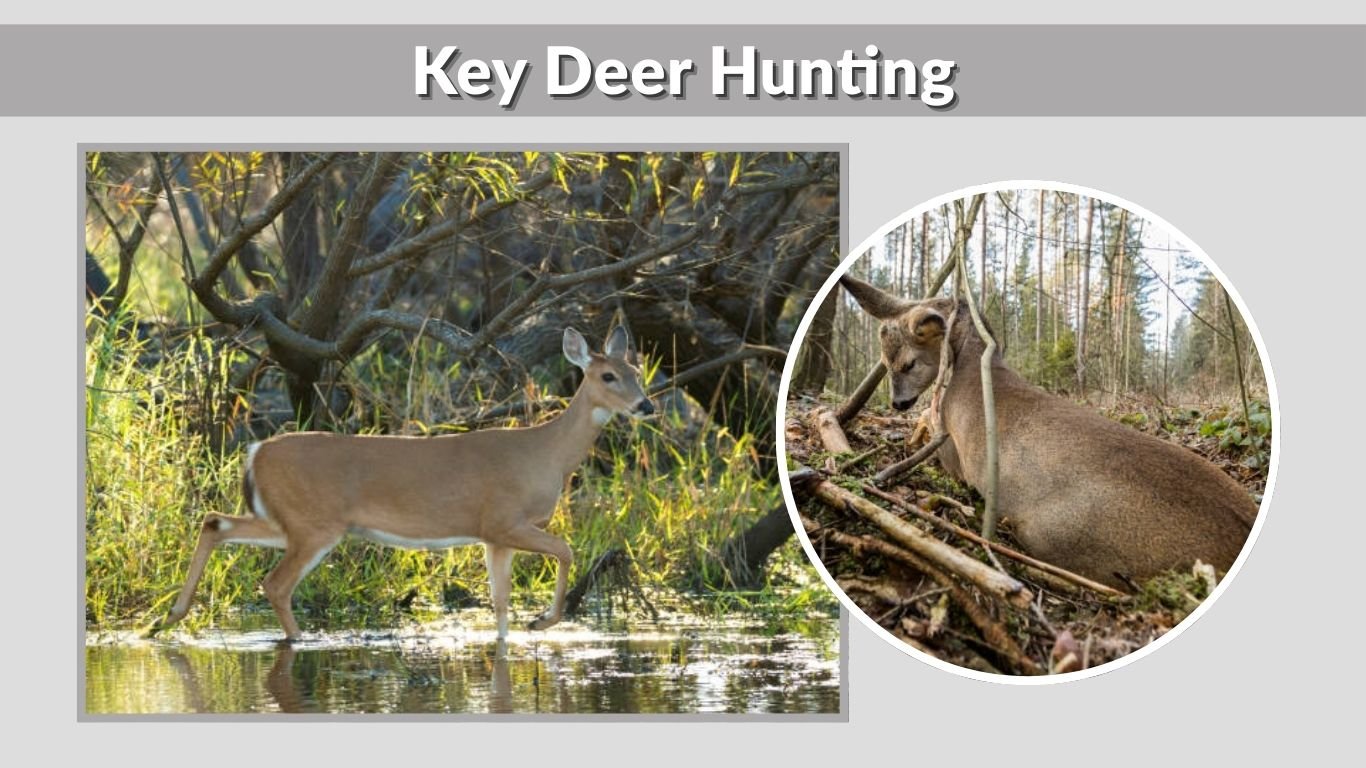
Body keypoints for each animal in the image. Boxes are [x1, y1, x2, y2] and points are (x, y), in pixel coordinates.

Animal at [156, 326, 654, 642]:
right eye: (608, 375)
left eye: (637, 372)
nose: (646, 406)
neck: (542, 454)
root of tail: (256, 451)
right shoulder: (502, 521)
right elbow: (566, 551)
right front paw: (543, 622)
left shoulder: (494, 538)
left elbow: (499, 604)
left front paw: (517, 634)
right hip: (315, 525)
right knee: (275, 584)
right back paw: (301, 640)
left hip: (283, 519)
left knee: (215, 521)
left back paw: (171, 616)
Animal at [838, 275, 1258, 590]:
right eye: (883, 361)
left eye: (908, 363)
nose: (897, 404)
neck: (972, 368)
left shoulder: (953, 449)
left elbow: (929, 431)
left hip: (1051, 532)